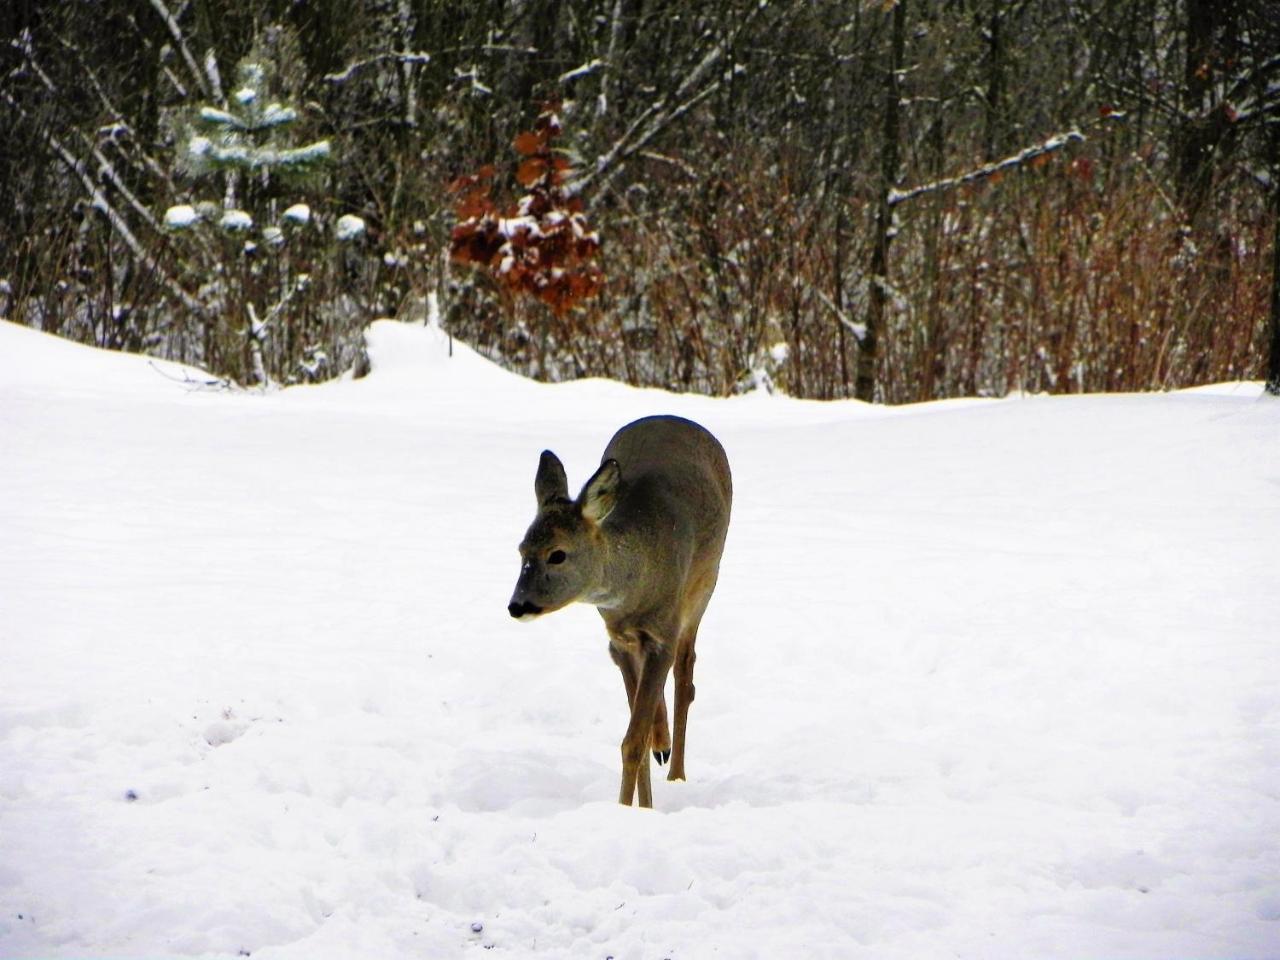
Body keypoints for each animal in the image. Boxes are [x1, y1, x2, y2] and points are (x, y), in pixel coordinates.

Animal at [506, 417, 732, 808]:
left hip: (704, 585)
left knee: (685, 674)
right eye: (522, 550)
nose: (517, 605)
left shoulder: (663, 631)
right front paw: (641, 805)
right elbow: (634, 734)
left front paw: (628, 807)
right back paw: (663, 744)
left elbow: (633, 741)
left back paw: (676, 772)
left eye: (558, 553)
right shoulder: (619, 639)